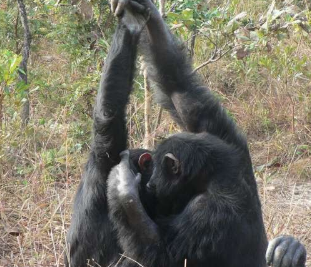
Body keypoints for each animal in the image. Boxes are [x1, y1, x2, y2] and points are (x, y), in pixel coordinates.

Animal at [65, 0, 308, 267]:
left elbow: (160, 253)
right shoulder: (225, 140)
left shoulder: (207, 214)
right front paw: (137, 19)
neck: (212, 177)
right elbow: (179, 90)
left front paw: (122, 186)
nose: (150, 185)